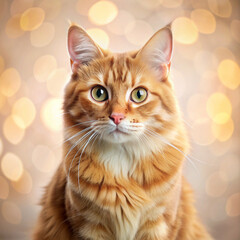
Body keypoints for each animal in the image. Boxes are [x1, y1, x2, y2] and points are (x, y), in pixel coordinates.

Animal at [32, 24, 212, 240]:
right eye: (99, 93)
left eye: (139, 94)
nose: (116, 117)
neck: (122, 161)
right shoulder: (88, 226)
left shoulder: (160, 224)